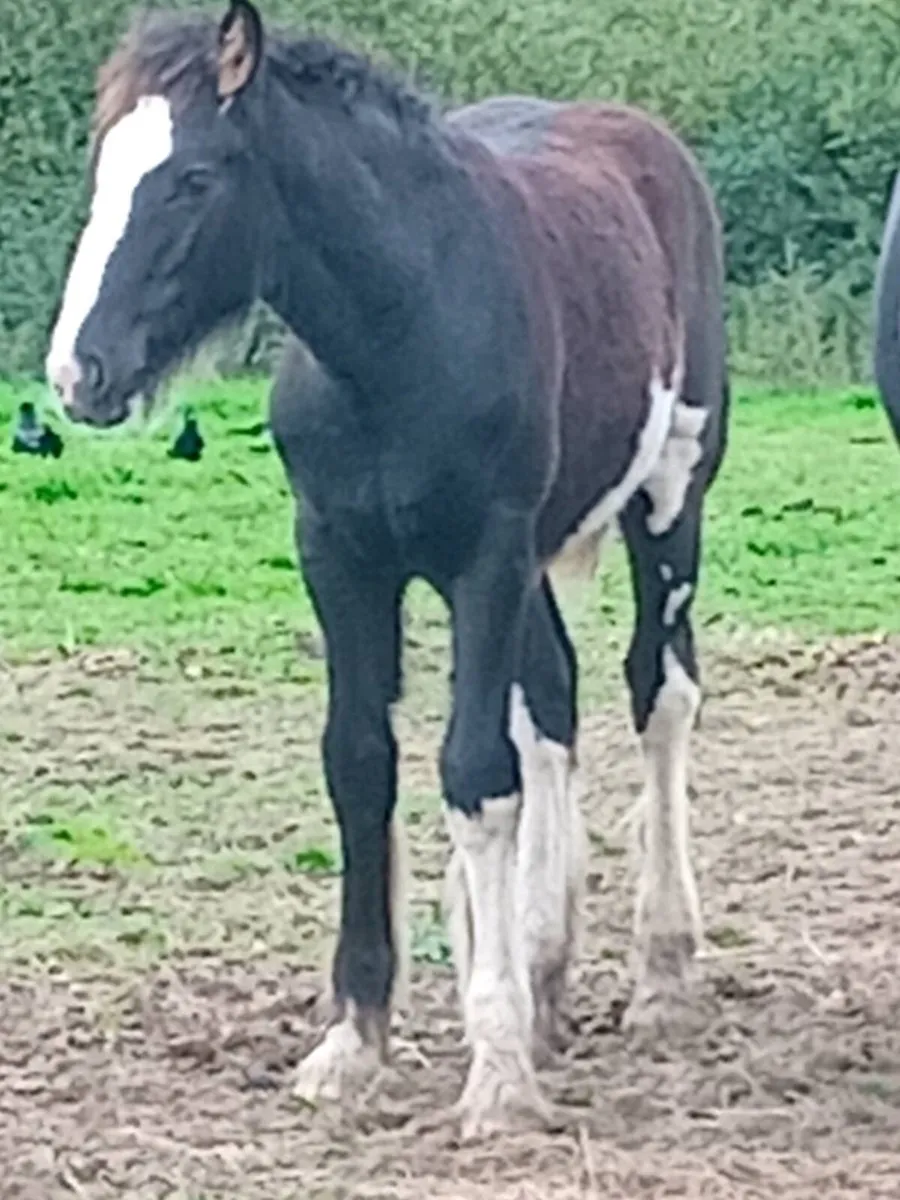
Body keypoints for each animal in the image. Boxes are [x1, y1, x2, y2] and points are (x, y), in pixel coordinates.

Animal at [45, 1, 730, 1137]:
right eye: (104, 168)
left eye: (194, 178)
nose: (78, 372)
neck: (398, 334)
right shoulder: (339, 555)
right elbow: (360, 763)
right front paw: (355, 1040)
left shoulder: (483, 557)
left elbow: (474, 774)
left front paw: (497, 1073)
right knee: (555, 699)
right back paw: (543, 965)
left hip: (671, 491)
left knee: (659, 691)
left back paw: (663, 971)